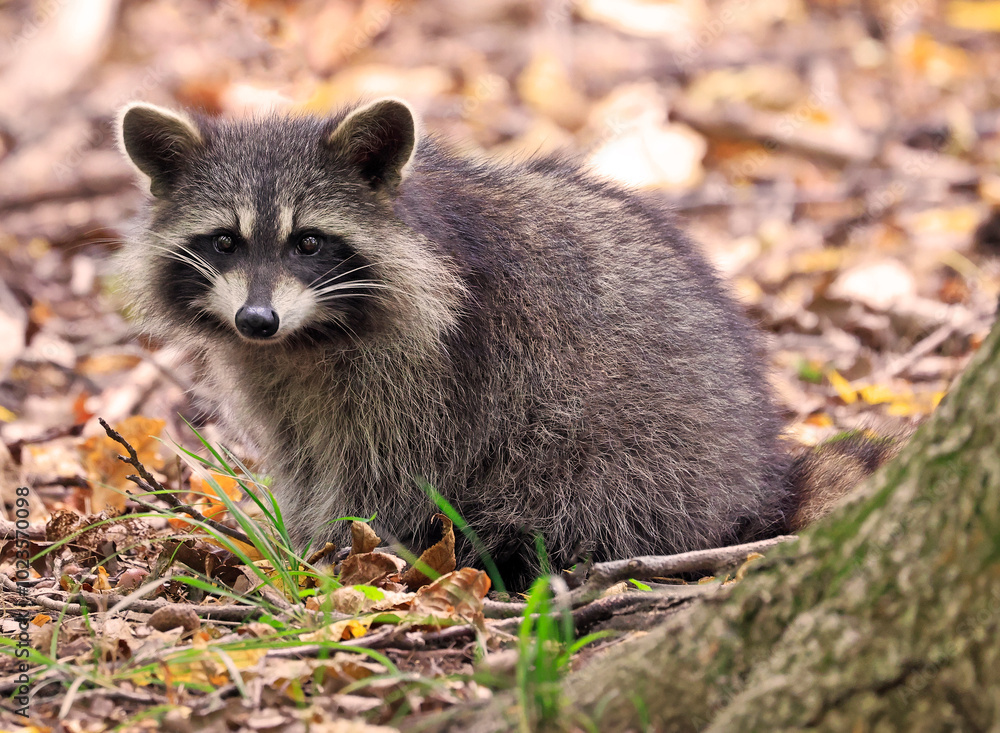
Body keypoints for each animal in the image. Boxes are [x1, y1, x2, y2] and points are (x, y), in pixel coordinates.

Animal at [116, 98, 795, 589]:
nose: (257, 319)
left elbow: (395, 469)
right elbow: (302, 454)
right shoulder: (274, 374)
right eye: (223, 241)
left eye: (307, 242)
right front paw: (302, 539)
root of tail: (757, 485)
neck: (310, 336)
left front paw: (337, 548)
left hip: (639, 453)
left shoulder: (439, 370)